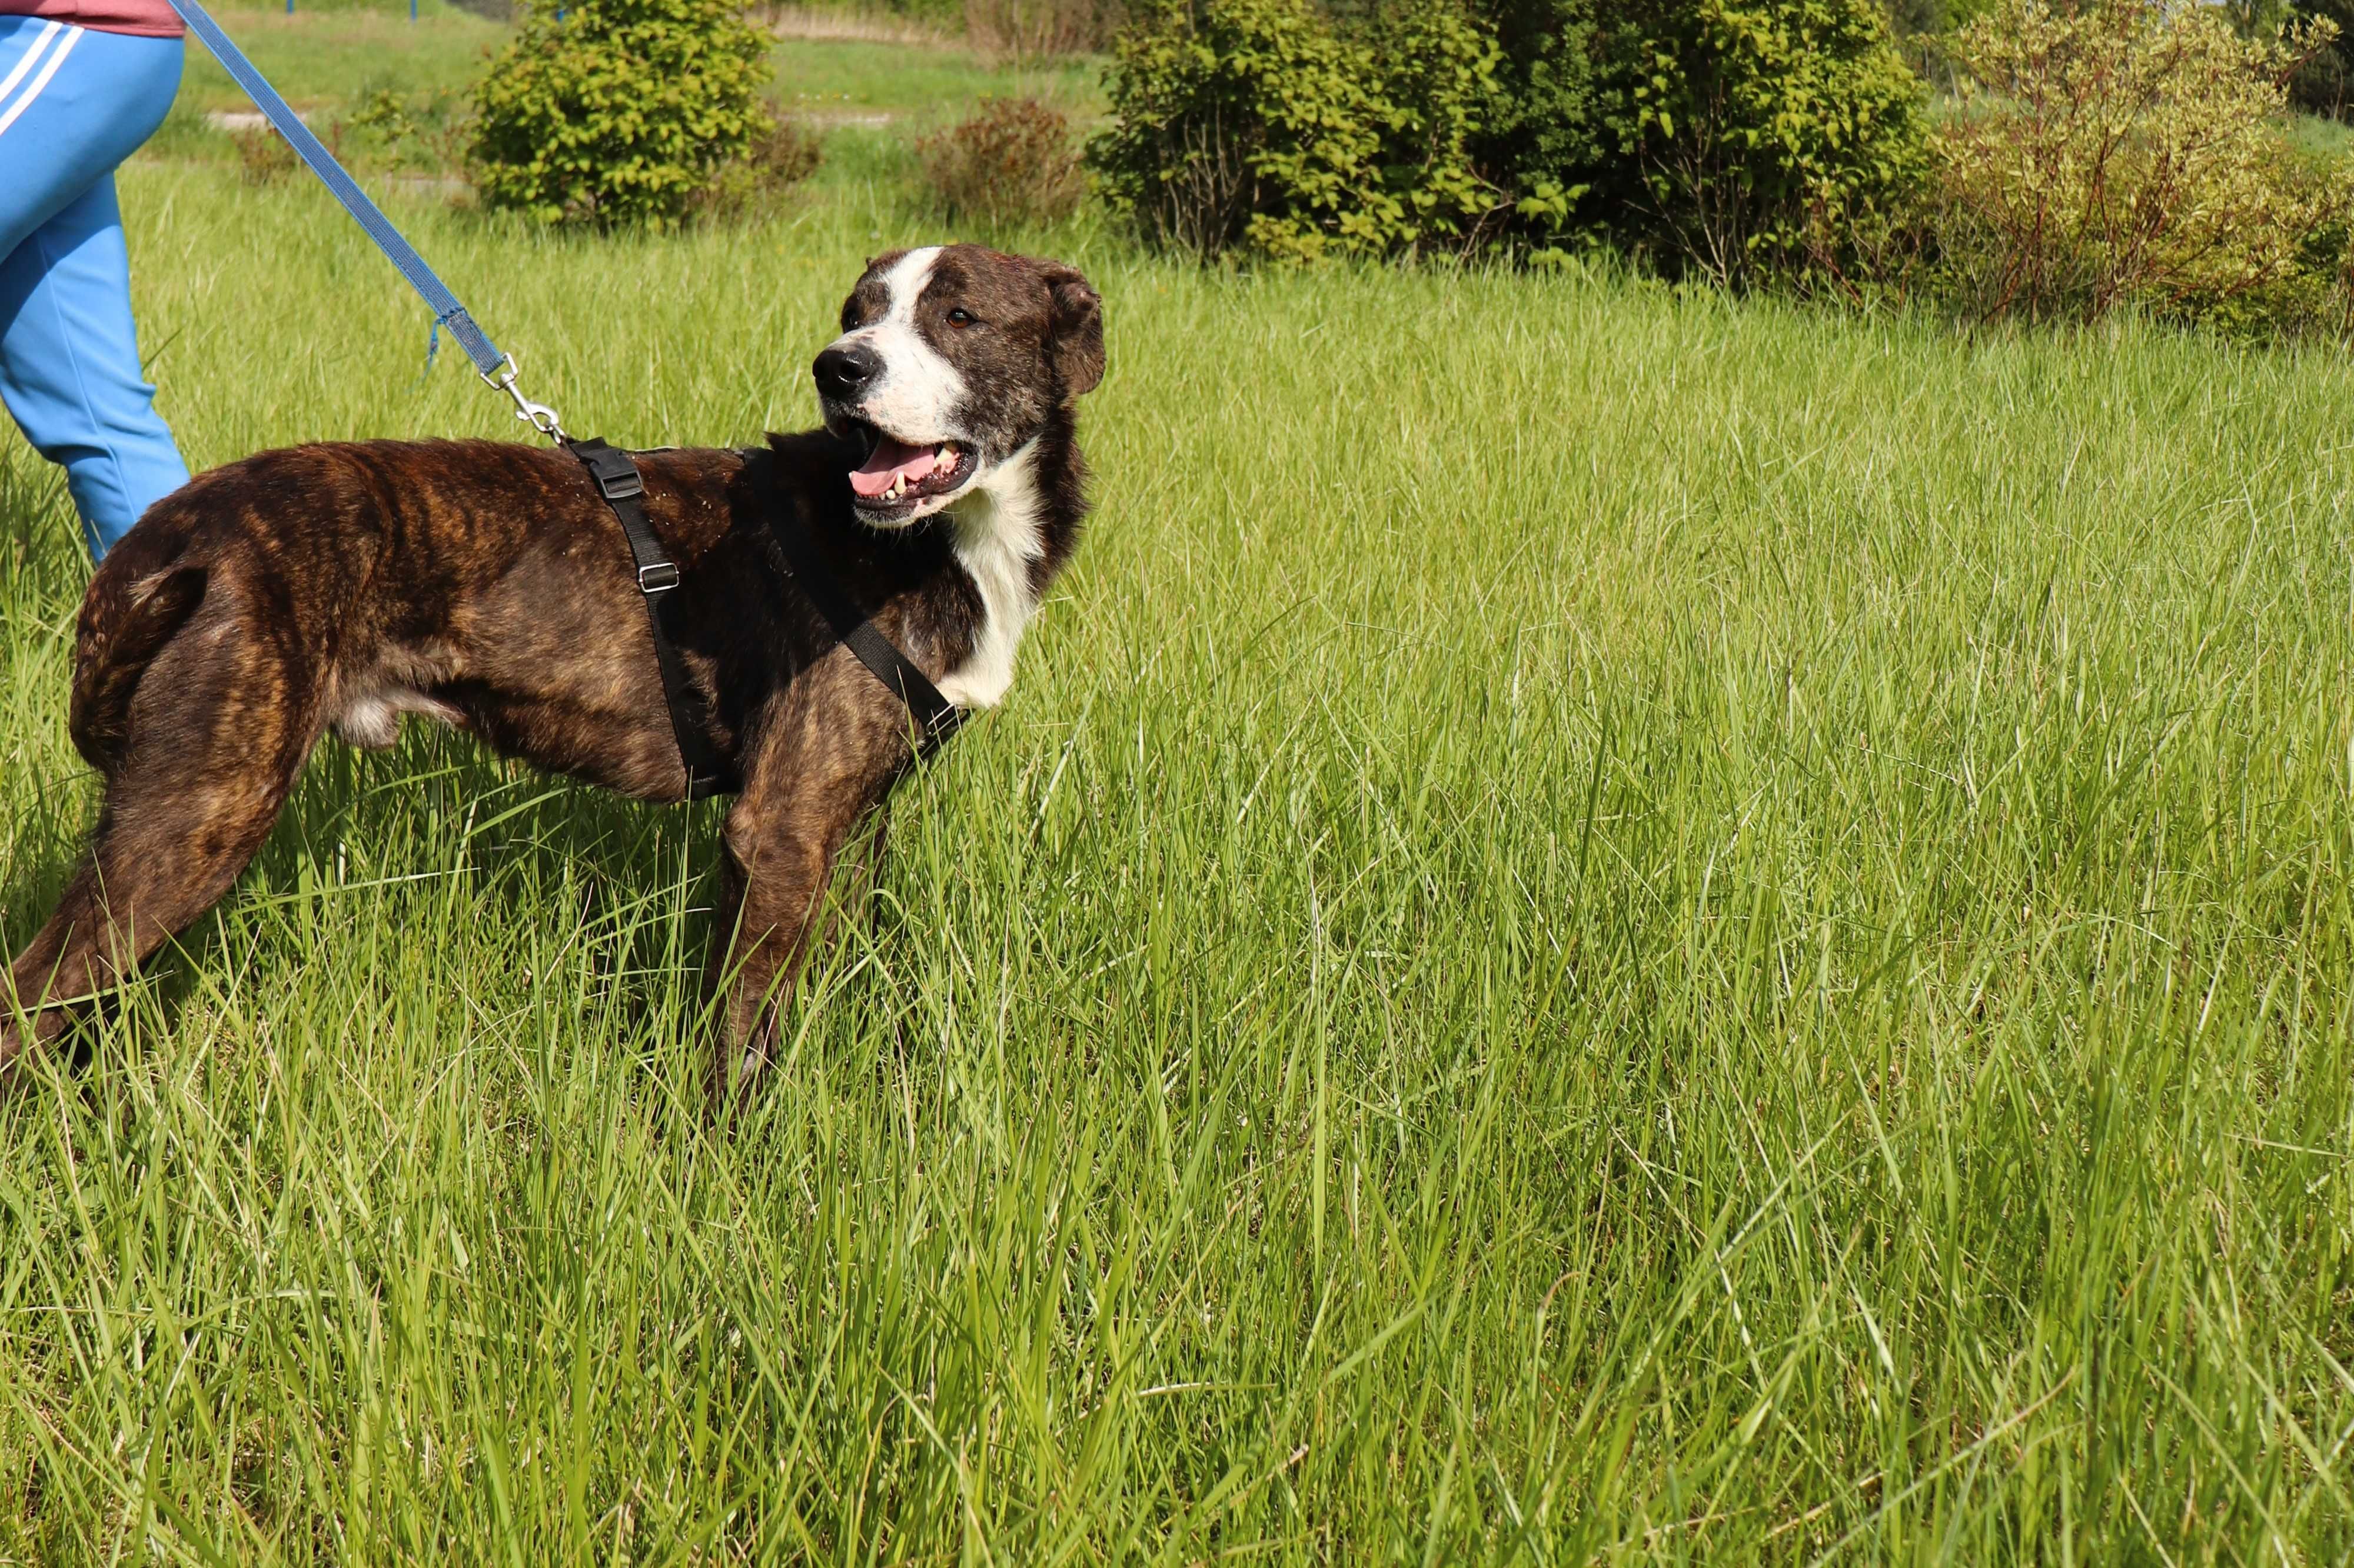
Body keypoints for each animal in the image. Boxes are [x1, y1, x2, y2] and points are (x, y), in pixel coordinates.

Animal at [2, 247, 1102, 1097]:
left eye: (958, 315)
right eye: (858, 314)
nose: (838, 368)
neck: (923, 538)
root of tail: (178, 527)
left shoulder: (850, 821)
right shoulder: (779, 829)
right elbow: (740, 1047)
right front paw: (729, 1178)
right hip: (200, 814)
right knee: (28, 1000)